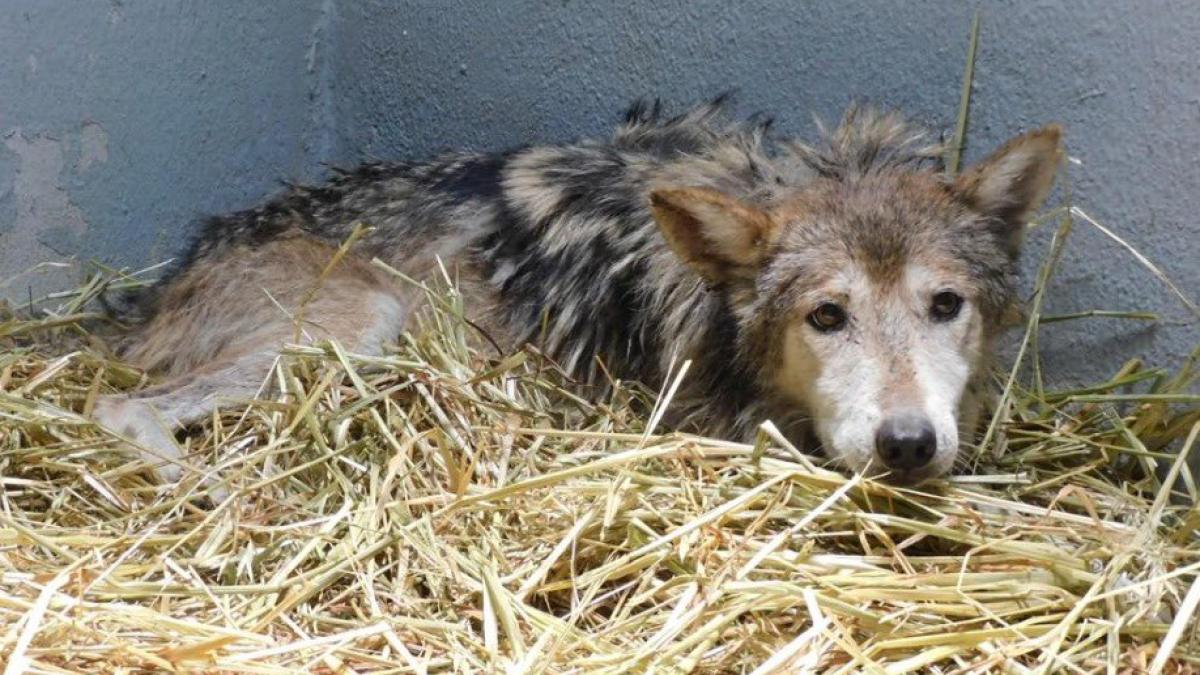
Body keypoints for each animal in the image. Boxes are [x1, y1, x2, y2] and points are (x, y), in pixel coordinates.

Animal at [93, 97, 1060, 485]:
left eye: (946, 306)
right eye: (827, 315)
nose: (908, 442)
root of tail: (159, 285)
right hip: (359, 320)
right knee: (118, 407)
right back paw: (212, 490)